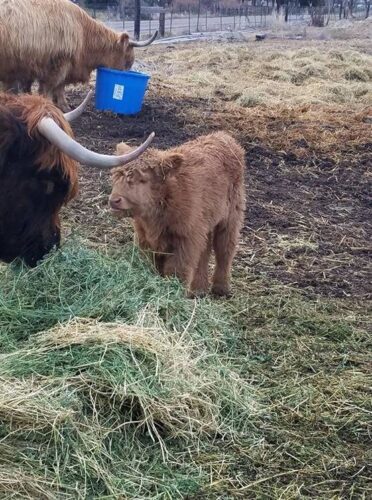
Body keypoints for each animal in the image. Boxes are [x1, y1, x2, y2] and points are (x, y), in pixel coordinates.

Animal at [109, 132, 246, 296]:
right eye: (116, 176)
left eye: (142, 179)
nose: (114, 200)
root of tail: (223, 136)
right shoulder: (146, 239)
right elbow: (152, 265)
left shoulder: (186, 238)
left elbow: (177, 270)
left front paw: (173, 293)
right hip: (205, 221)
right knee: (205, 250)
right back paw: (198, 290)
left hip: (232, 214)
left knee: (225, 248)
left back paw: (221, 289)